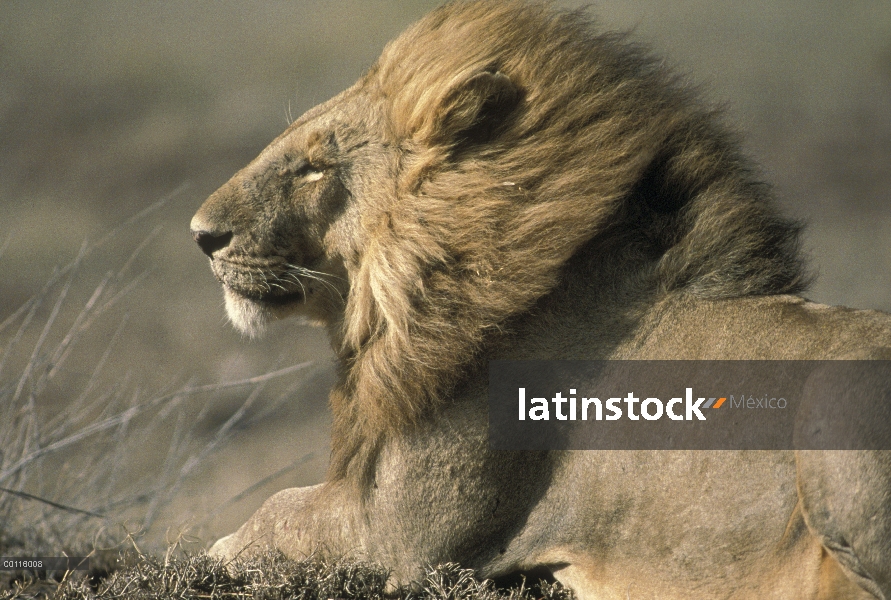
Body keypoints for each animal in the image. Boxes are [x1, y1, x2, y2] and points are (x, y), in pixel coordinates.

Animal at [190, 2, 891, 596]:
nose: (201, 235)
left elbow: (275, 513)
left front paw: (211, 552)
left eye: (315, 167)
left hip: (838, 405)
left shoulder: (401, 537)